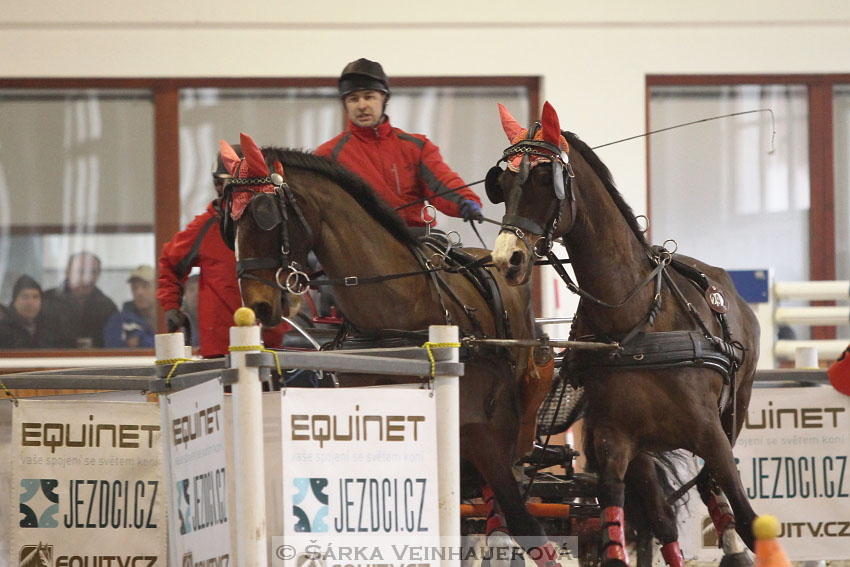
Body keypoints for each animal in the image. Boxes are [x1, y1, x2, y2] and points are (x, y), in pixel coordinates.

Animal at [217, 134, 564, 567]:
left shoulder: (477, 430)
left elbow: (520, 520)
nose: (258, 306)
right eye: (228, 223)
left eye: (265, 215)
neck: (396, 315)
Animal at [486, 104, 760, 567]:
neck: (636, 322)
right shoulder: (615, 440)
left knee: (712, 494)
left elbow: (747, 517)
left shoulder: (713, 435)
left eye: (543, 179)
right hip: (644, 454)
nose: (508, 259)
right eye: (501, 185)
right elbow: (615, 530)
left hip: (732, 417)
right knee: (662, 518)